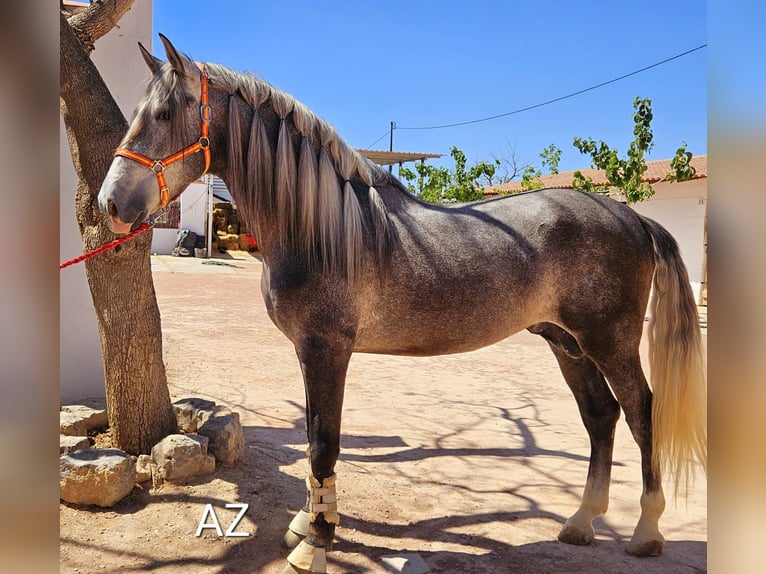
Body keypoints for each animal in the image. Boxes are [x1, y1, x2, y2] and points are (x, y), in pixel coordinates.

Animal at [100, 35, 708, 572]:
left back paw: (646, 531)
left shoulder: (327, 350)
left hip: (610, 342)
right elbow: (315, 439)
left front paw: (315, 543)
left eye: (161, 114)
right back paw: (582, 521)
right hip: (567, 343)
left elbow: (324, 443)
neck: (323, 228)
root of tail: (630, 215)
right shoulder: (307, 353)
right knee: (600, 415)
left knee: (641, 412)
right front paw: (308, 523)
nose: (111, 204)